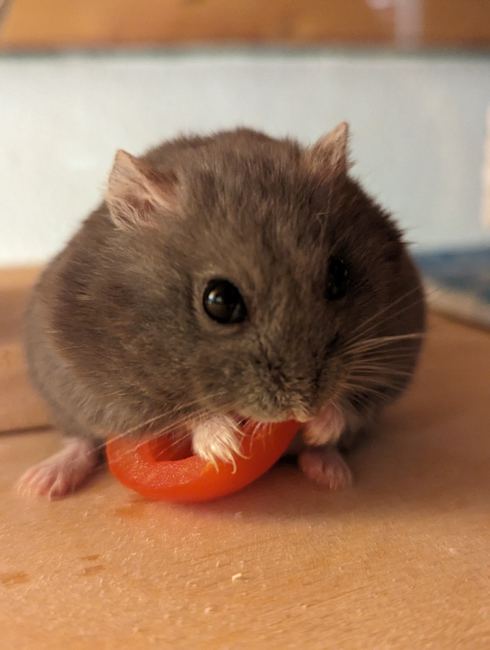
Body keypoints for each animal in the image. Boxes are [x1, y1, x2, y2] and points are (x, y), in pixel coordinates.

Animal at [18, 123, 425, 499]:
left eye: (339, 276)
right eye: (220, 301)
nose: (302, 411)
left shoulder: (396, 359)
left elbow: (357, 402)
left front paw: (319, 427)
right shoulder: (113, 389)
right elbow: (183, 417)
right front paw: (226, 446)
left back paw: (330, 471)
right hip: (63, 392)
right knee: (81, 440)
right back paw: (38, 484)